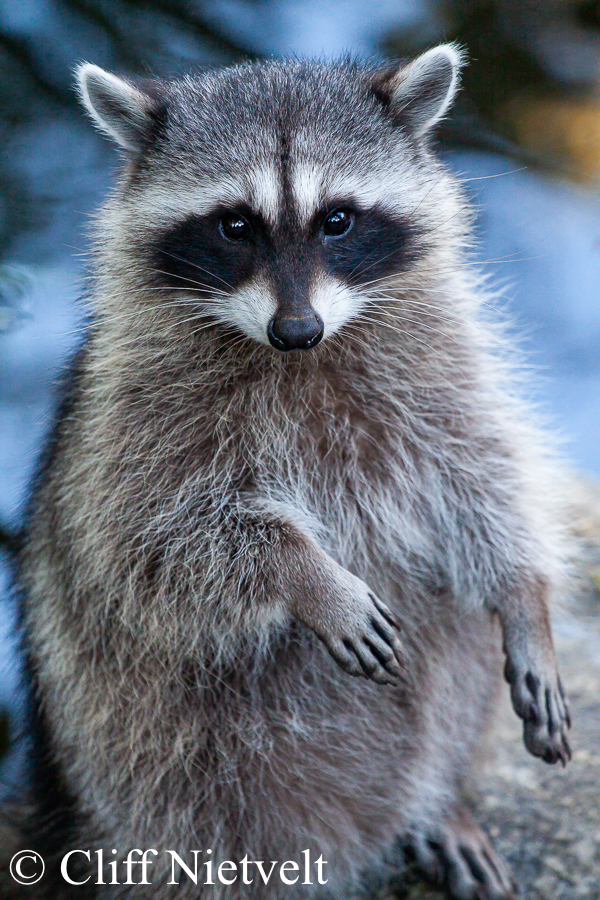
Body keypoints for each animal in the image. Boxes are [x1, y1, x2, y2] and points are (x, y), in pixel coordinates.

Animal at [10, 45, 571, 900]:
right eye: (234, 224)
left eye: (337, 219)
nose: (297, 329)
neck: (302, 355)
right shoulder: (132, 419)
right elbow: (158, 539)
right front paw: (305, 573)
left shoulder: (436, 367)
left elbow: (481, 472)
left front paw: (526, 597)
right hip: (151, 778)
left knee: (455, 653)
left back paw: (434, 799)